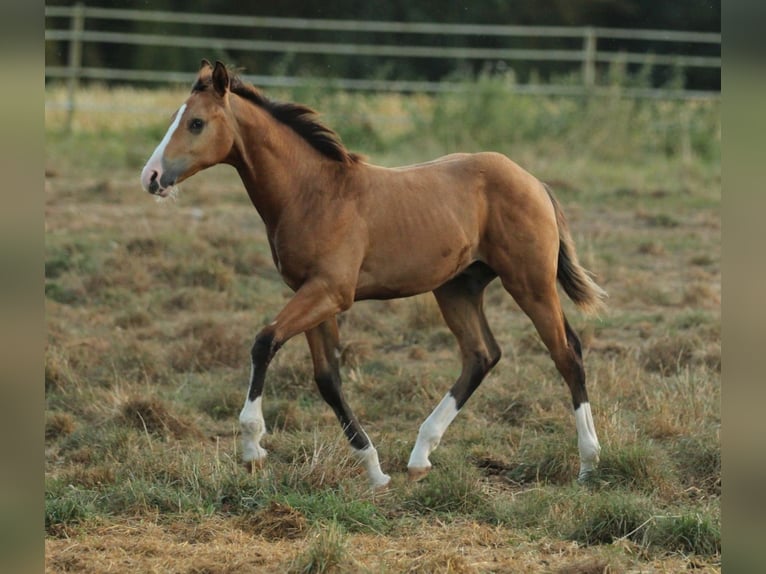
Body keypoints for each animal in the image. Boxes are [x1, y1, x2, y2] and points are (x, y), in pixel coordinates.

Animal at [140, 60, 606, 489]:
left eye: (197, 123)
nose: (152, 176)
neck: (313, 193)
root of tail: (533, 181)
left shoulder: (330, 292)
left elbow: (264, 341)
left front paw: (253, 446)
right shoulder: (313, 294)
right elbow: (327, 378)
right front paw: (374, 470)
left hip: (530, 282)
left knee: (566, 352)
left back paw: (588, 464)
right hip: (457, 288)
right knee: (482, 354)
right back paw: (420, 456)